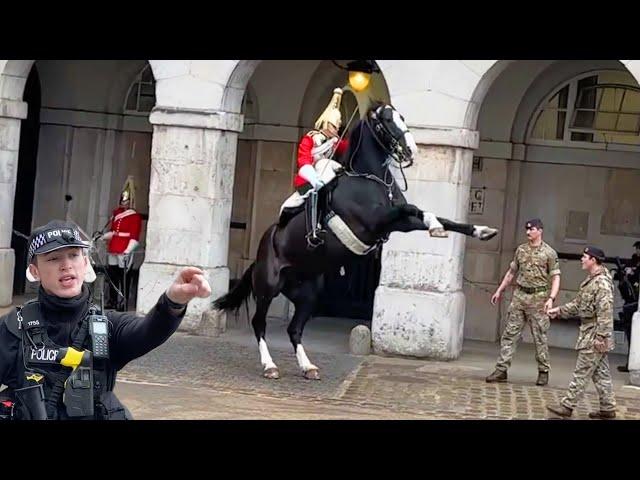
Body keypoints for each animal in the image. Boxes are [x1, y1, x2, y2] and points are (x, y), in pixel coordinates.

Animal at [212, 104, 498, 378]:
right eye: (386, 121)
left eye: (402, 117)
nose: (412, 151)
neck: (372, 180)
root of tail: (261, 250)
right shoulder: (377, 221)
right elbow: (415, 209)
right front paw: (436, 226)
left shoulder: (398, 224)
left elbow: (438, 217)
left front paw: (481, 230)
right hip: (268, 287)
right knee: (259, 324)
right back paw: (270, 365)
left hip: (308, 295)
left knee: (294, 329)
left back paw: (308, 367)